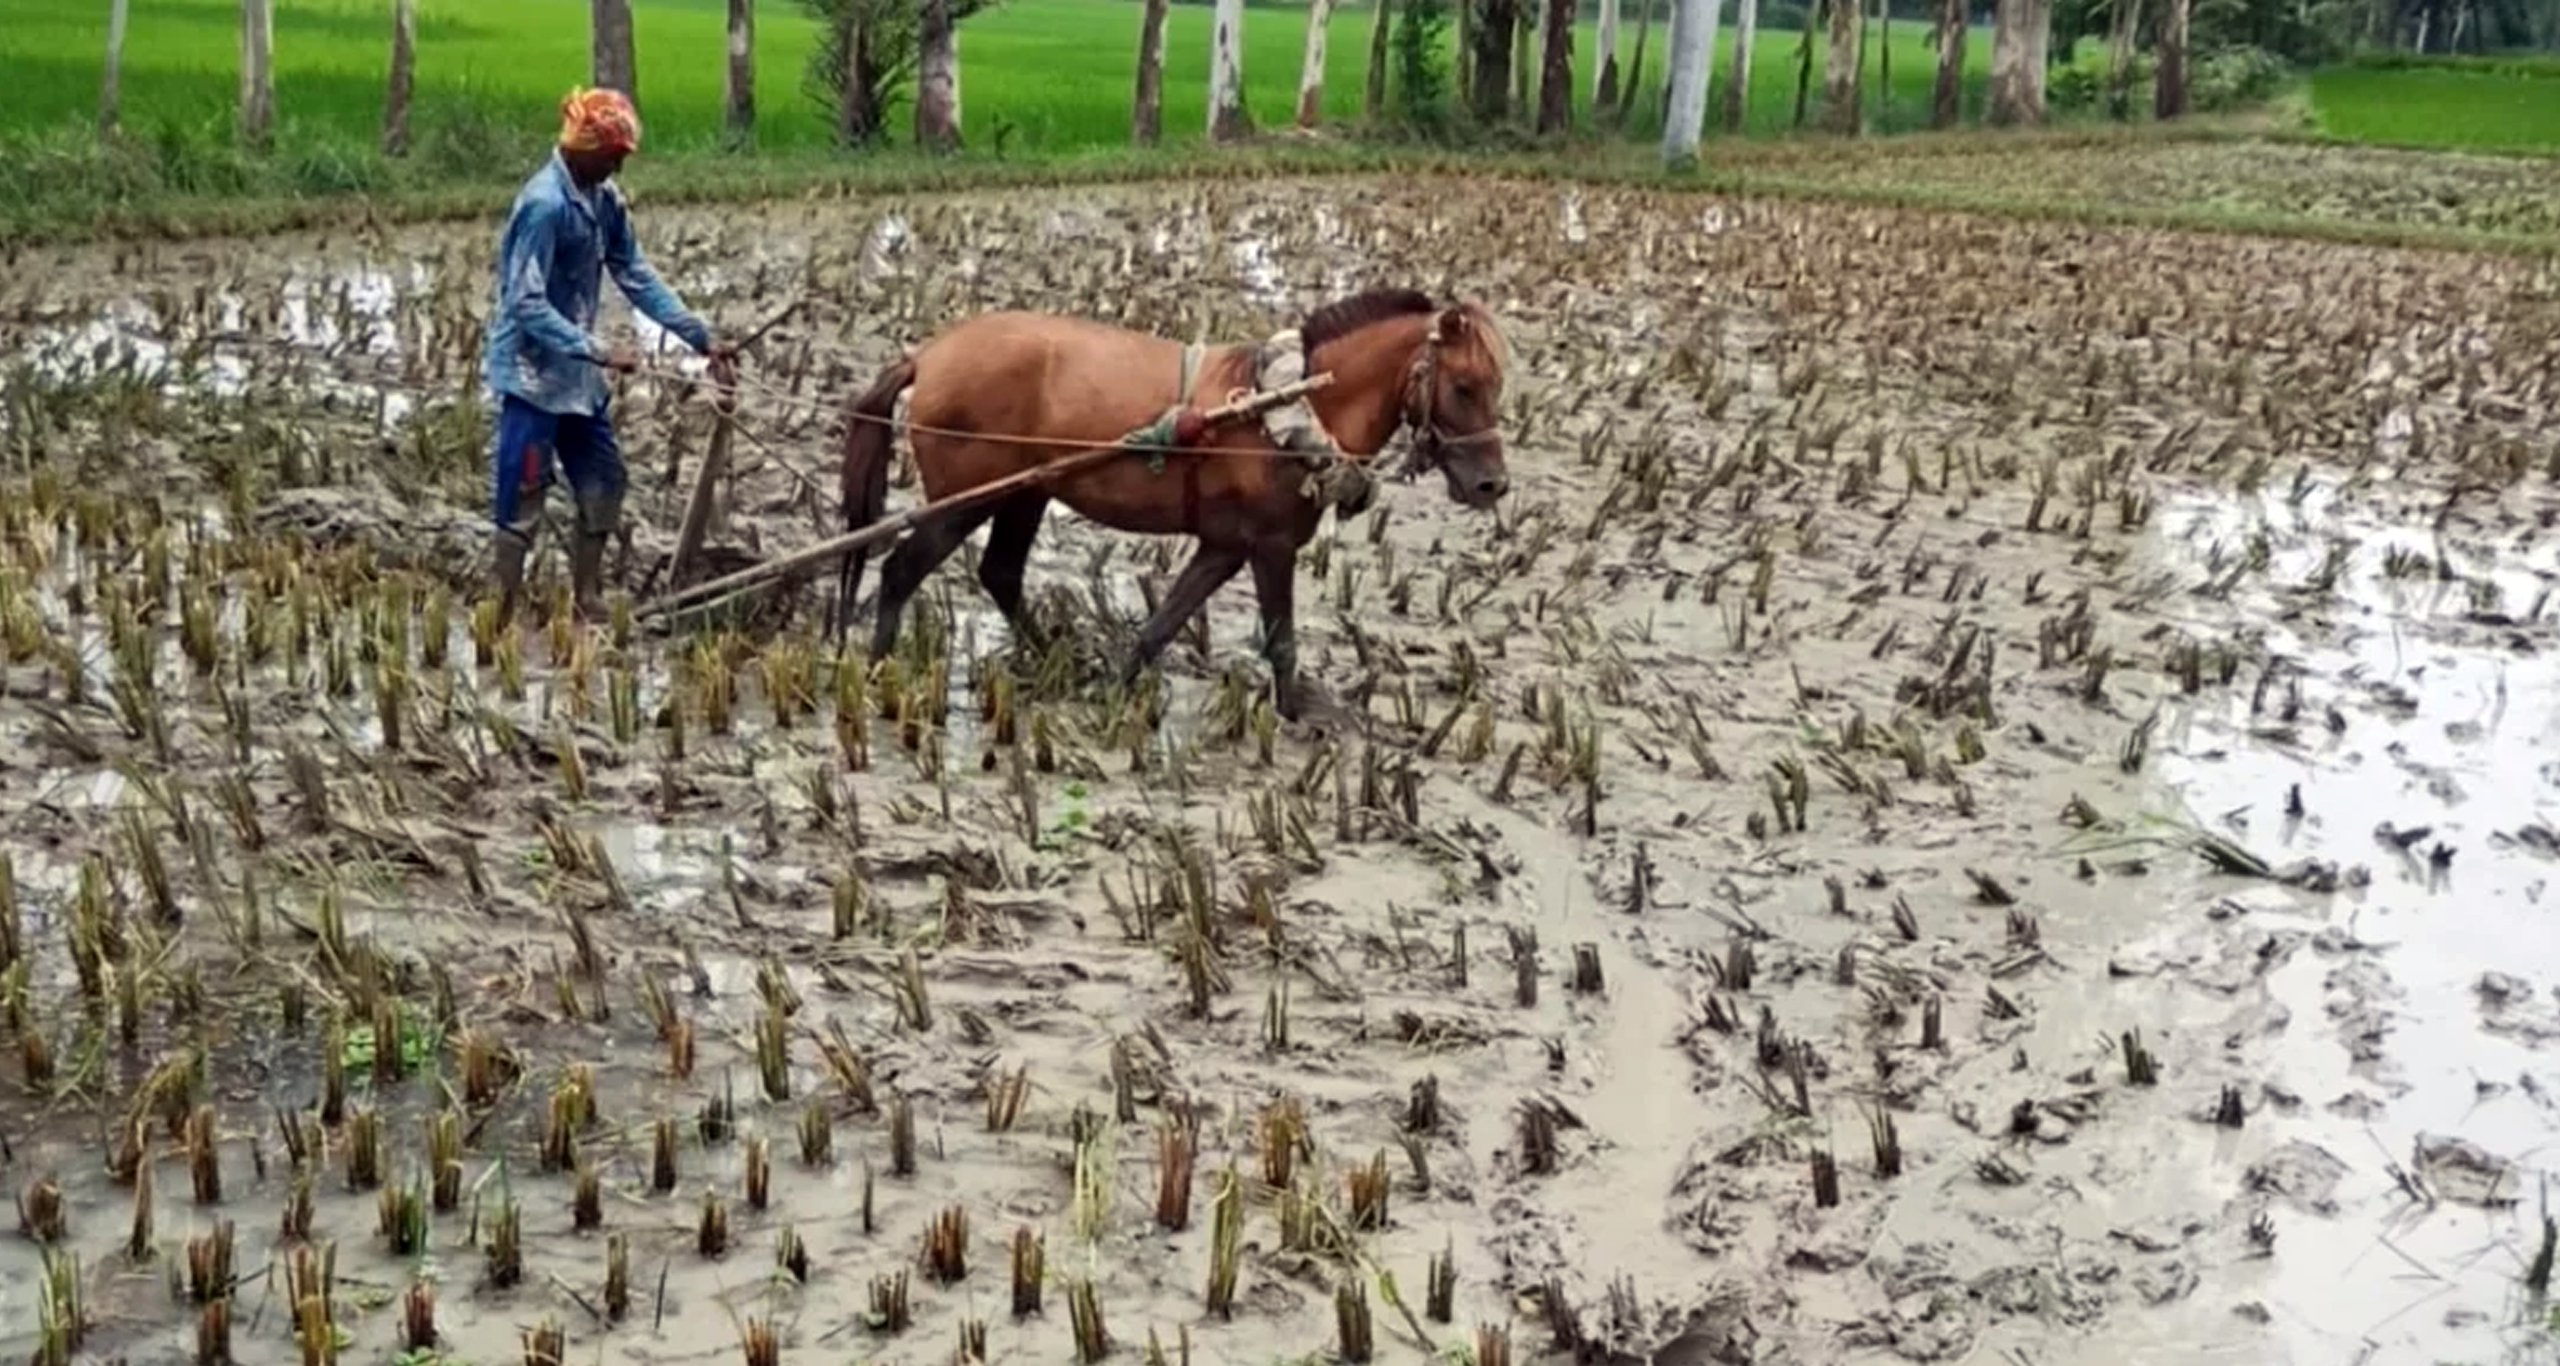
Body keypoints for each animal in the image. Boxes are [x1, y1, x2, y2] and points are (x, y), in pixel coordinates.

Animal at [839, 285, 1505, 721]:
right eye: (1463, 386)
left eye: (1496, 386)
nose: (1492, 487)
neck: (1285, 405)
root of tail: (926, 356)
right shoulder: (1270, 546)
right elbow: (1281, 641)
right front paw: (1297, 720)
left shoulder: (1224, 547)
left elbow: (1162, 625)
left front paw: (1114, 687)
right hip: (962, 503)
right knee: (900, 571)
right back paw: (876, 673)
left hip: (1025, 493)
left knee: (999, 573)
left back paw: (1059, 660)